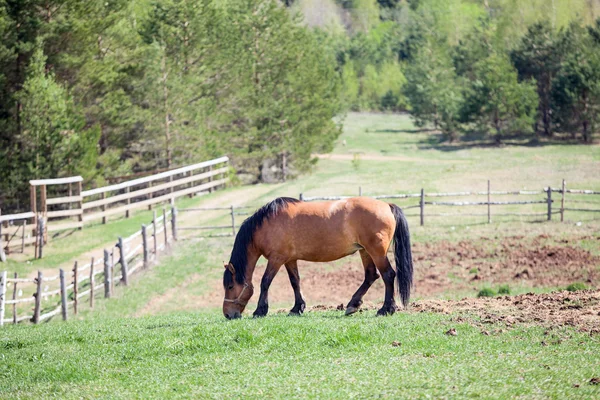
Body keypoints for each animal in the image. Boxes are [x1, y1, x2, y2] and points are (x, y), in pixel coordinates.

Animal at [220, 196, 412, 318]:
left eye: (230, 286)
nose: (228, 314)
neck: (267, 225)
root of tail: (387, 205)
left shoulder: (276, 259)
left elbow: (265, 282)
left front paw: (260, 310)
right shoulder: (290, 260)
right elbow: (295, 282)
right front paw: (297, 308)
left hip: (376, 252)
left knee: (388, 275)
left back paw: (386, 309)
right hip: (365, 251)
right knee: (371, 276)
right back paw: (353, 305)